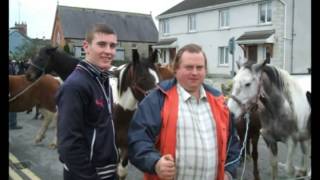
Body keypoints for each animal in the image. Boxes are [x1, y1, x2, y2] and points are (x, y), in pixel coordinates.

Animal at [25, 46, 172, 179]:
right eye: (142, 78)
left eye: (41, 58)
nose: (28, 75)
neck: (122, 109)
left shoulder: (126, 146)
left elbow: (121, 172)